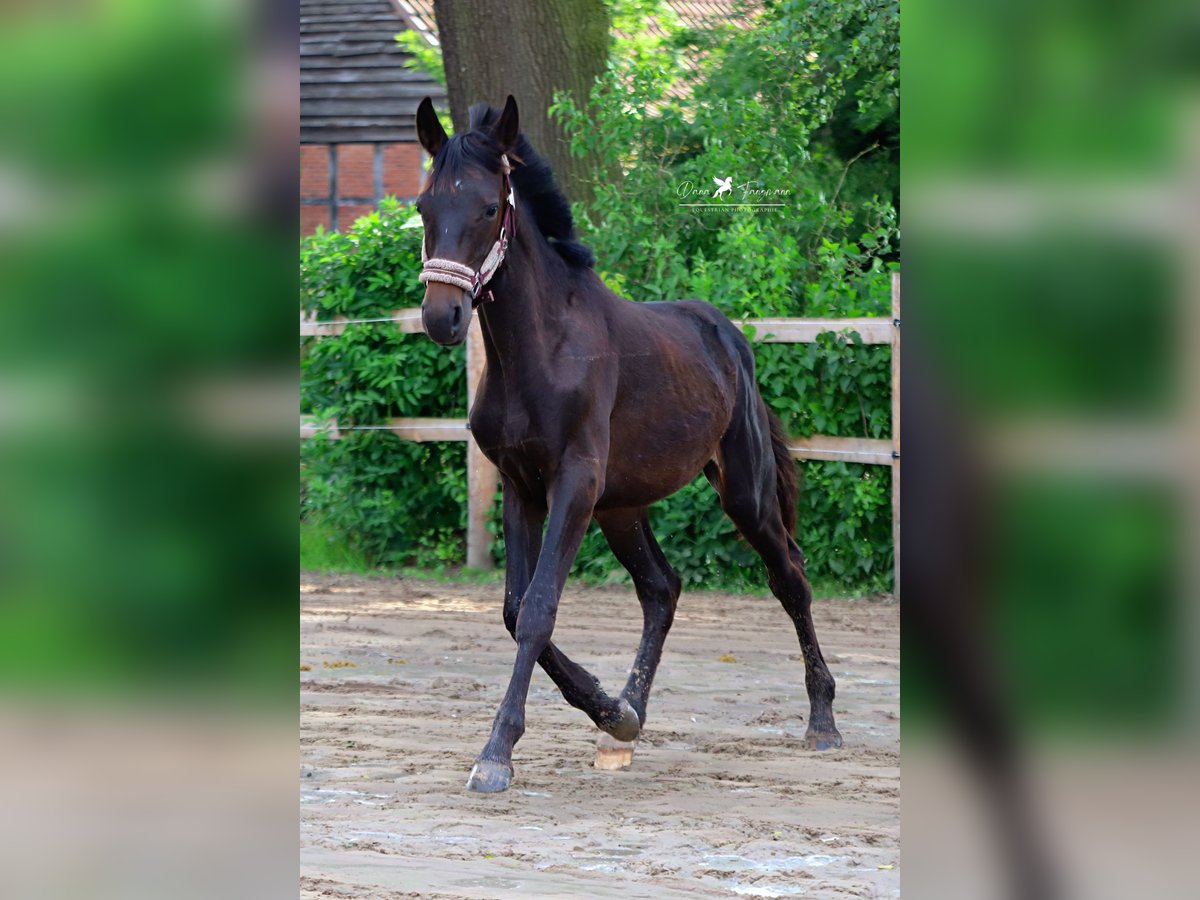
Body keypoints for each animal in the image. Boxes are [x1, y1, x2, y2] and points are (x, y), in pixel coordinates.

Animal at [417, 95, 840, 792]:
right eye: (425, 206)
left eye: (488, 208)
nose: (441, 317)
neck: (540, 350)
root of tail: (729, 337)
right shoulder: (521, 486)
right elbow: (513, 609)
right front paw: (605, 709)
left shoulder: (575, 482)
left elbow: (538, 609)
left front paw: (496, 754)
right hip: (621, 507)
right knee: (661, 589)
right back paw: (625, 716)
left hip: (742, 494)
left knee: (791, 579)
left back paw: (823, 721)